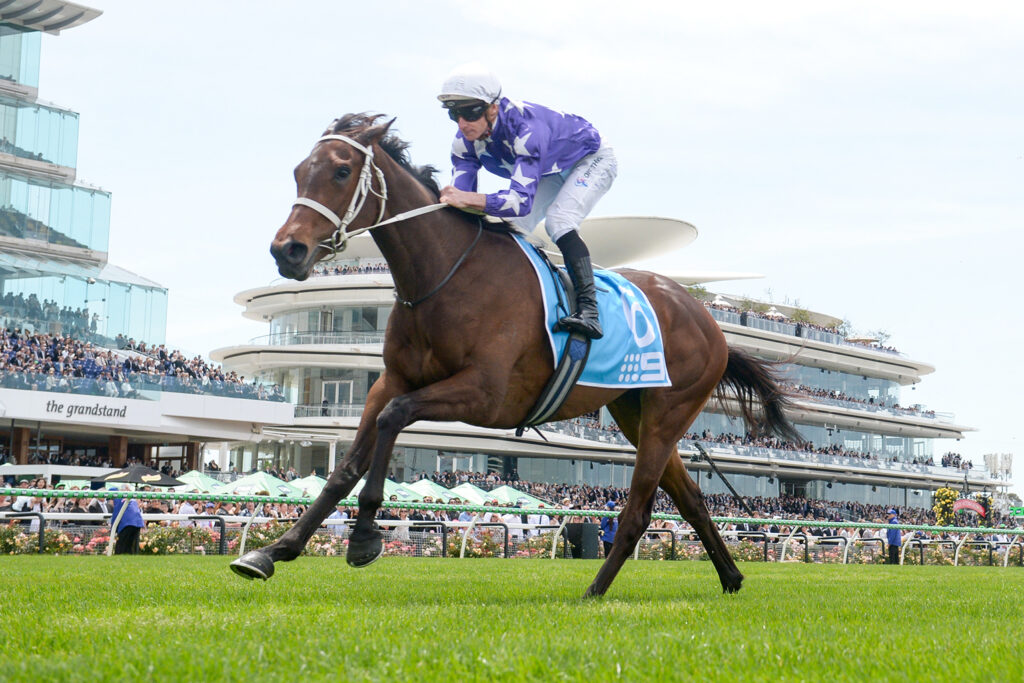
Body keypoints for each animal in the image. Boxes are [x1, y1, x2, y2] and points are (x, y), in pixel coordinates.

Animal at [234, 114, 798, 593]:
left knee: (639, 510)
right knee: (694, 500)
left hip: (668, 411)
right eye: (299, 172)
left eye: (342, 170)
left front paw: (364, 537)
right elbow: (346, 466)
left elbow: (394, 419)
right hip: (635, 409)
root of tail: (711, 322)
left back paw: (594, 591)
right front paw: (271, 552)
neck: (447, 274)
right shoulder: (392, 379)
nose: (287, 251)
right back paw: (731, 579)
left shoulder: (484, 395)